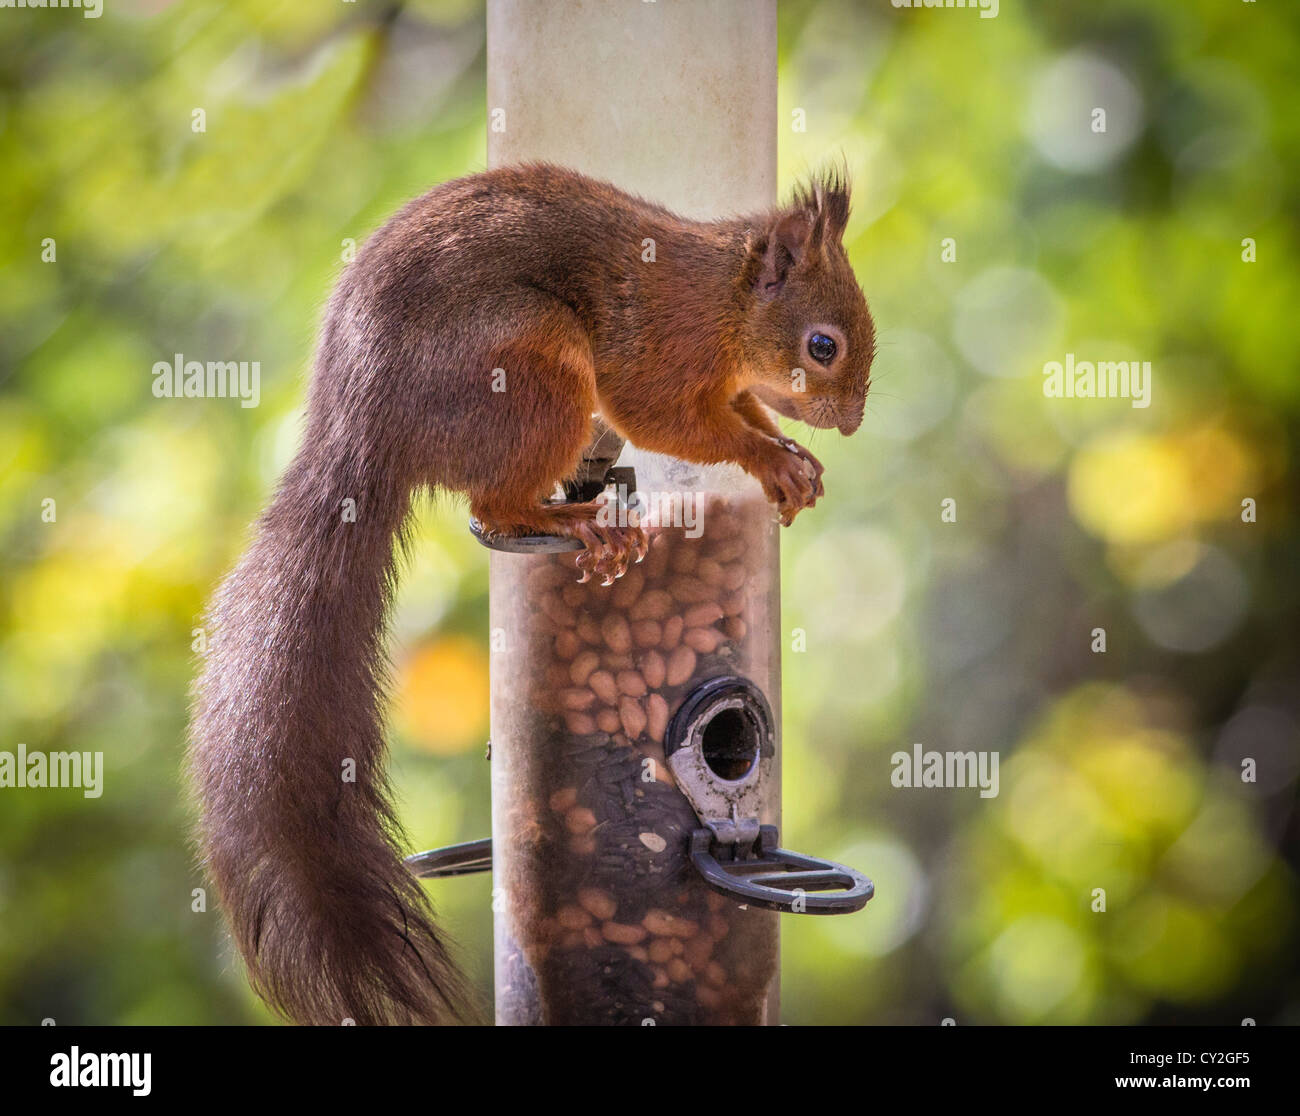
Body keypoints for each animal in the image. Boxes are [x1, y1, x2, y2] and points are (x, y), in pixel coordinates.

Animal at [189, 162, 875, 1026]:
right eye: (823, 345)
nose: (851, 423)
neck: (725, 297)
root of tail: (362, 429)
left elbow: (741, 406)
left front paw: (787, 453)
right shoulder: (660, 346)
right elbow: (666, 418)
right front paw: (767, 457)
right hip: (530, 369)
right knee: (495, 507)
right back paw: (576, 522)